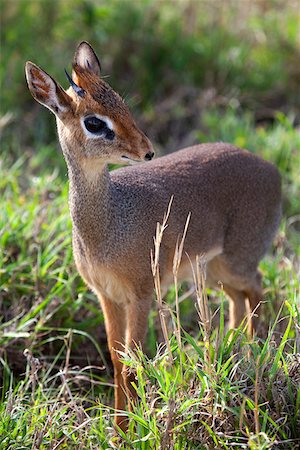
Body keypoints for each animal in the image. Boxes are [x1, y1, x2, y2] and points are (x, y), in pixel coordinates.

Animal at [25, 41, 282, 428]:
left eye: (122, 102)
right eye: (94, 121)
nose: (147, 150)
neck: (110, 225)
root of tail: (274, 172)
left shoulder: (142, 294)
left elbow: (133, 361)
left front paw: (131, 428)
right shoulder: (107, 295)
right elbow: (117, 358)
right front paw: (118, 428)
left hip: (236, 262)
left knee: (258, 288)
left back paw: (253, 356)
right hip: (213, 271)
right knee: (239, 301)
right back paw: (235, 352)